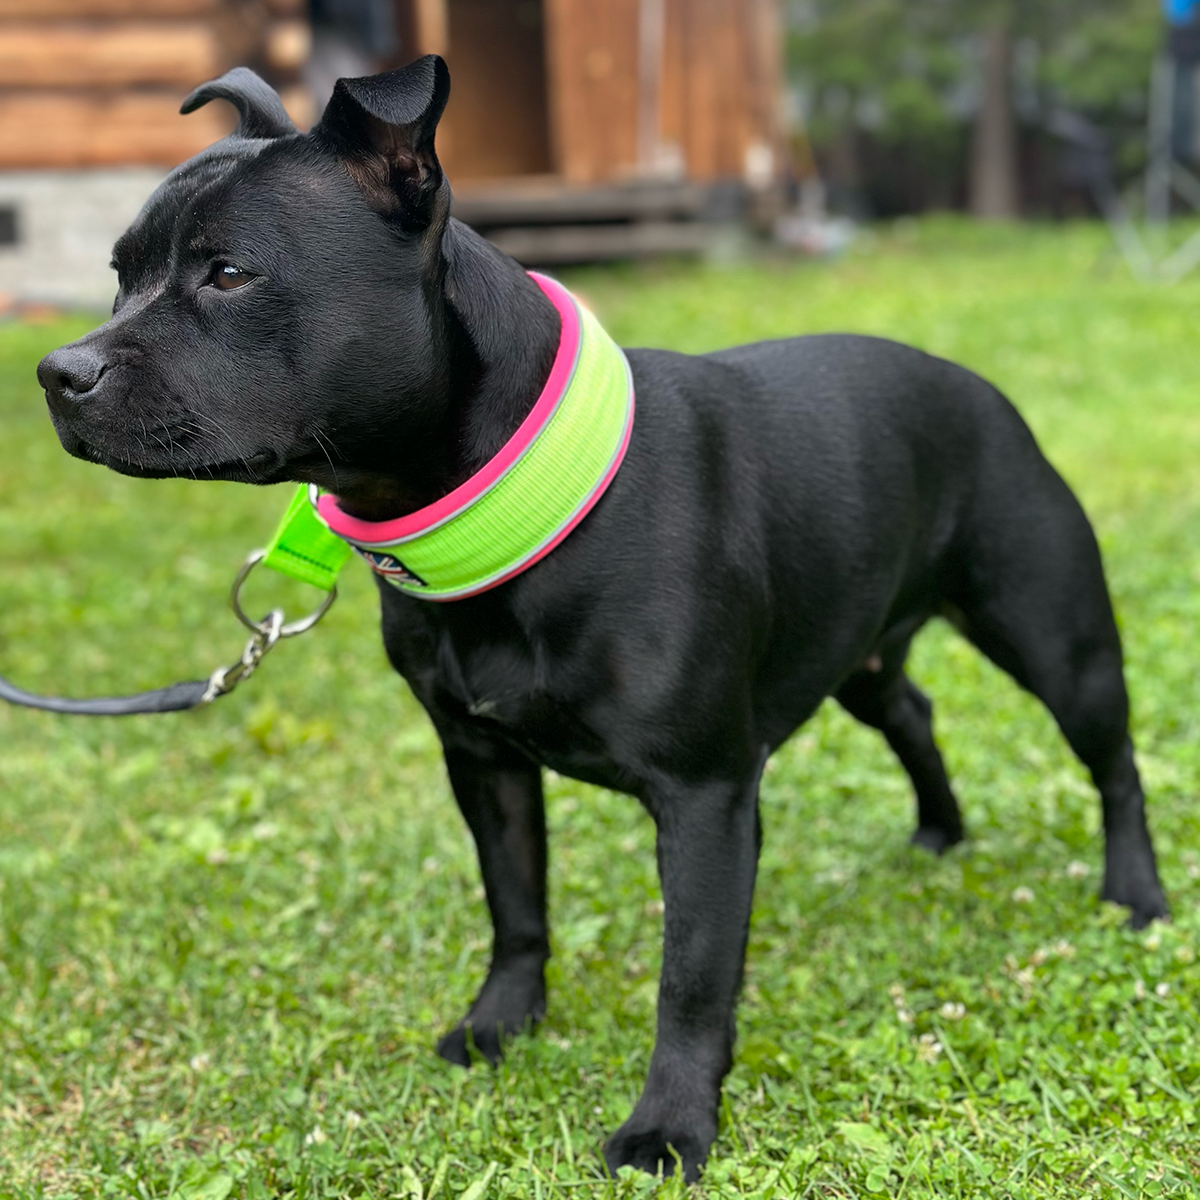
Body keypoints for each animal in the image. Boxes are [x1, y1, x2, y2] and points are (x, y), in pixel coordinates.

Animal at [35, 58, 1161, 1180]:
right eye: (119, 274)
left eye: (229, 273)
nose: (59, 372)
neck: (515, 500)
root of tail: (979, 386)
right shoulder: (482, 765)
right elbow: (517, 908)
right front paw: (500, 1025)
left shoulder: (705, 798)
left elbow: (693, 978)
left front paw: (670, 1126)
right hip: (861, 652)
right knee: (913, 708)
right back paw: (939, 831)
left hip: (1056, 639)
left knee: (1114, 763)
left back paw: (1137, 896)